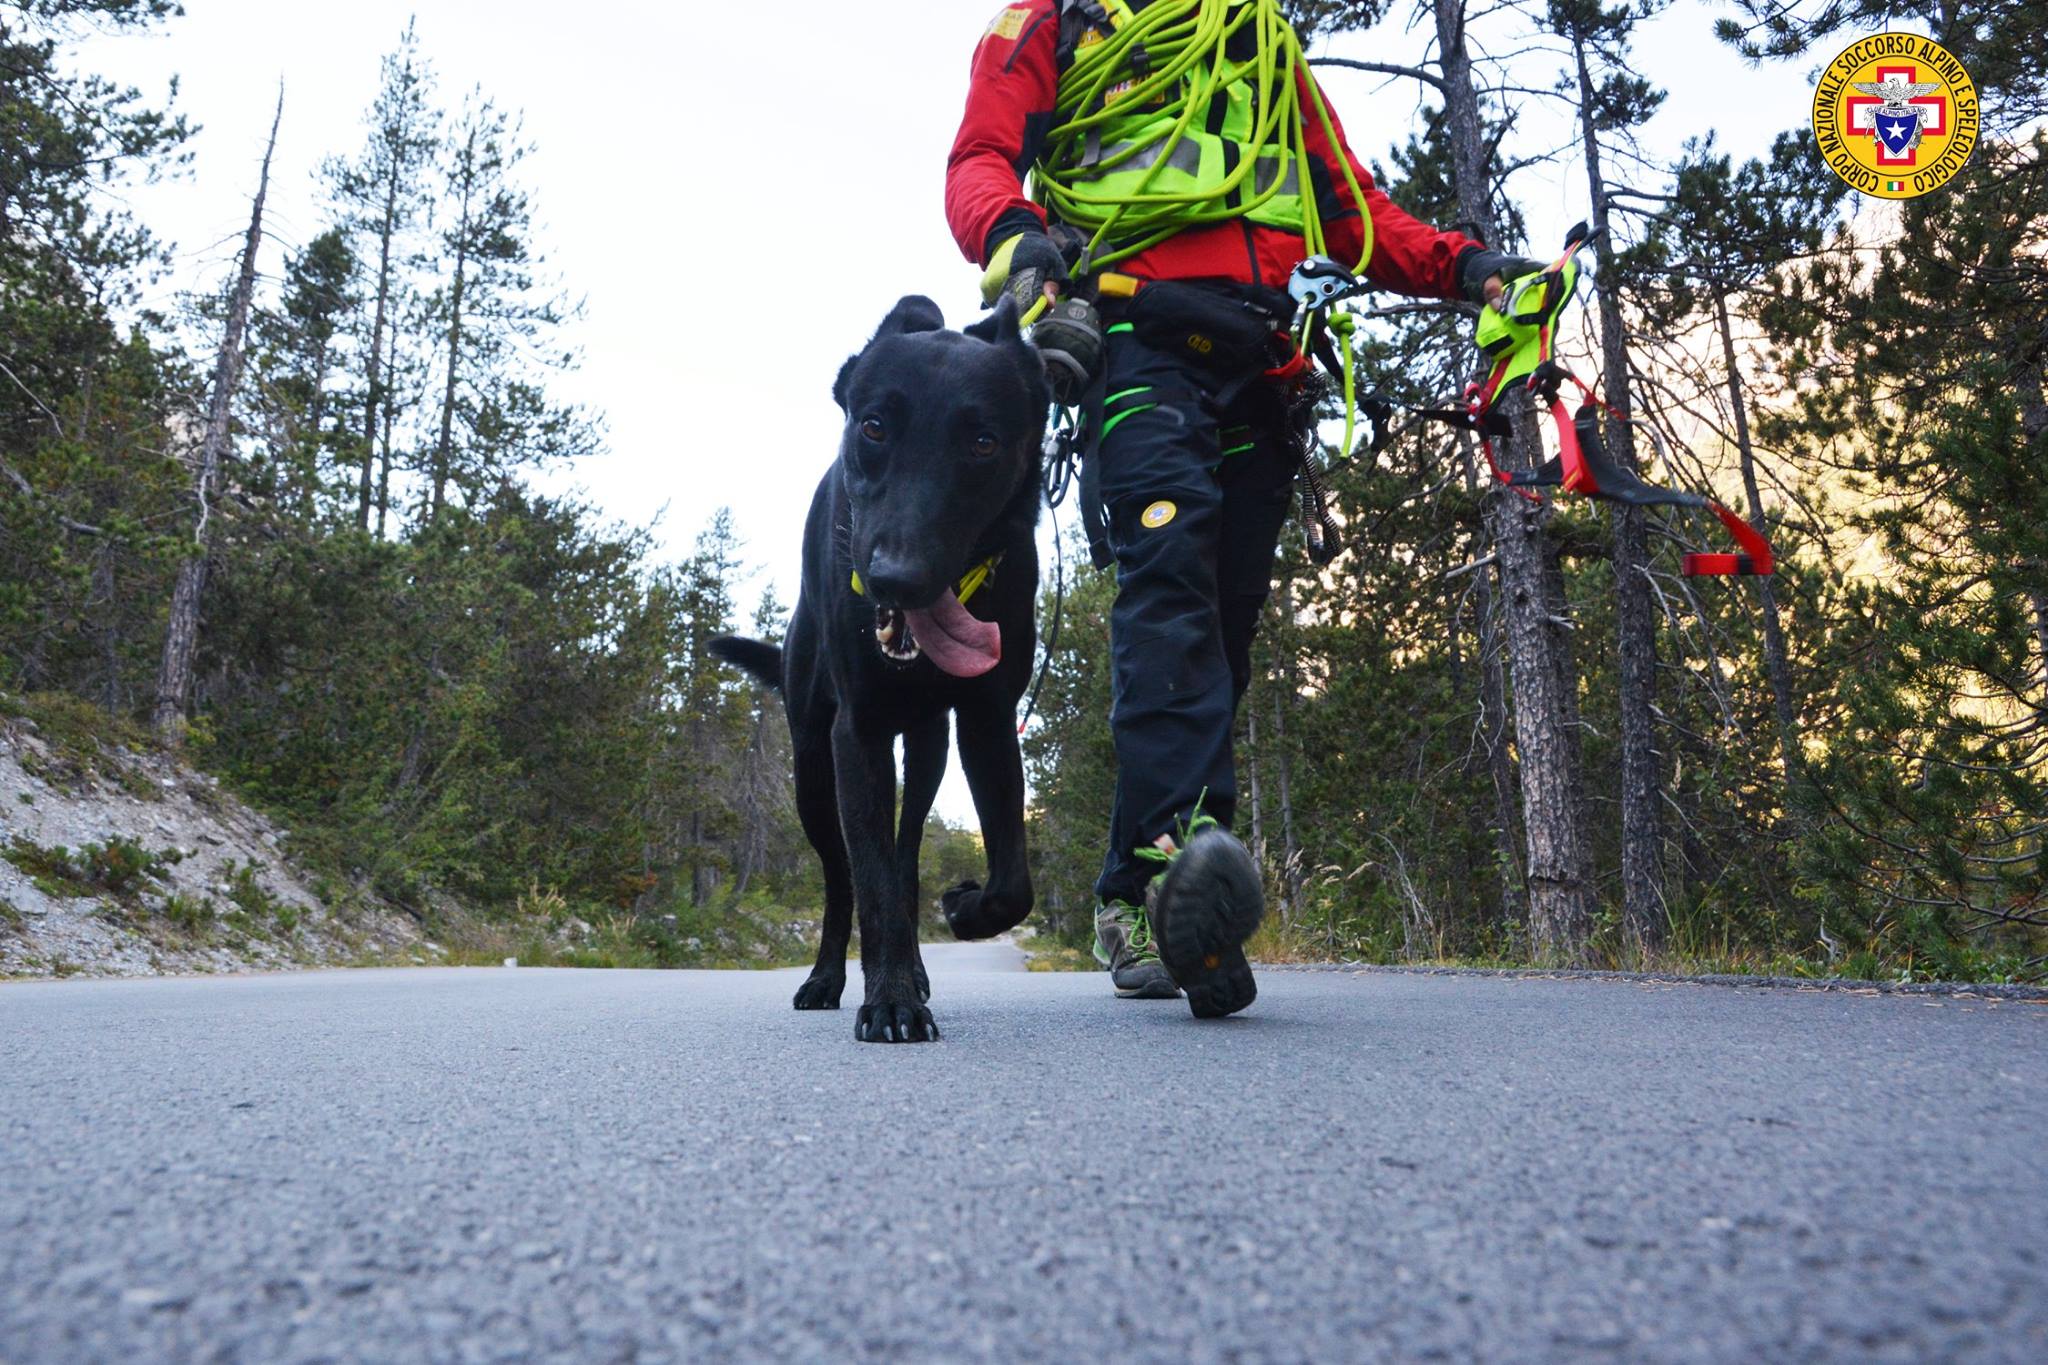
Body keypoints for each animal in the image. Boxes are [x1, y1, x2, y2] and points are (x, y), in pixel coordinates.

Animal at [710, 294, 1049, 1043]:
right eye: (874, 427)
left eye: (983, 442)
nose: (898, 578)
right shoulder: (856, 735)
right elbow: (867, 881)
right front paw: (889, 998)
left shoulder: (987, 721)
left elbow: (1010, 882)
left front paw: (964, 909)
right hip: (811, 771)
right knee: (844, 877)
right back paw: (826, 979)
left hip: (926, 754)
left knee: (906, 851)